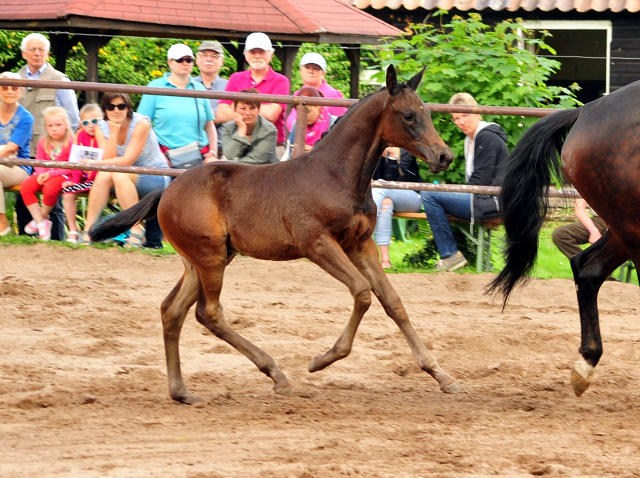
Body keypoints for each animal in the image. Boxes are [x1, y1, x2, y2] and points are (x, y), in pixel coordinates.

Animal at [90, 65, 460, 406]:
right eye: (408, 115)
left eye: (427, 112)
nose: (444, 156)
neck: (337, 175)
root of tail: (166, 191)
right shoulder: (317, 244)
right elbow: (362, 292)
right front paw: (321, 360)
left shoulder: (360, 244)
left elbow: (393, 302)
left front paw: (441, 375)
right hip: (210, 258)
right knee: (209, 312)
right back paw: (276, 374)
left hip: (203, 259)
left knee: (173, 310)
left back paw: (182, 392)